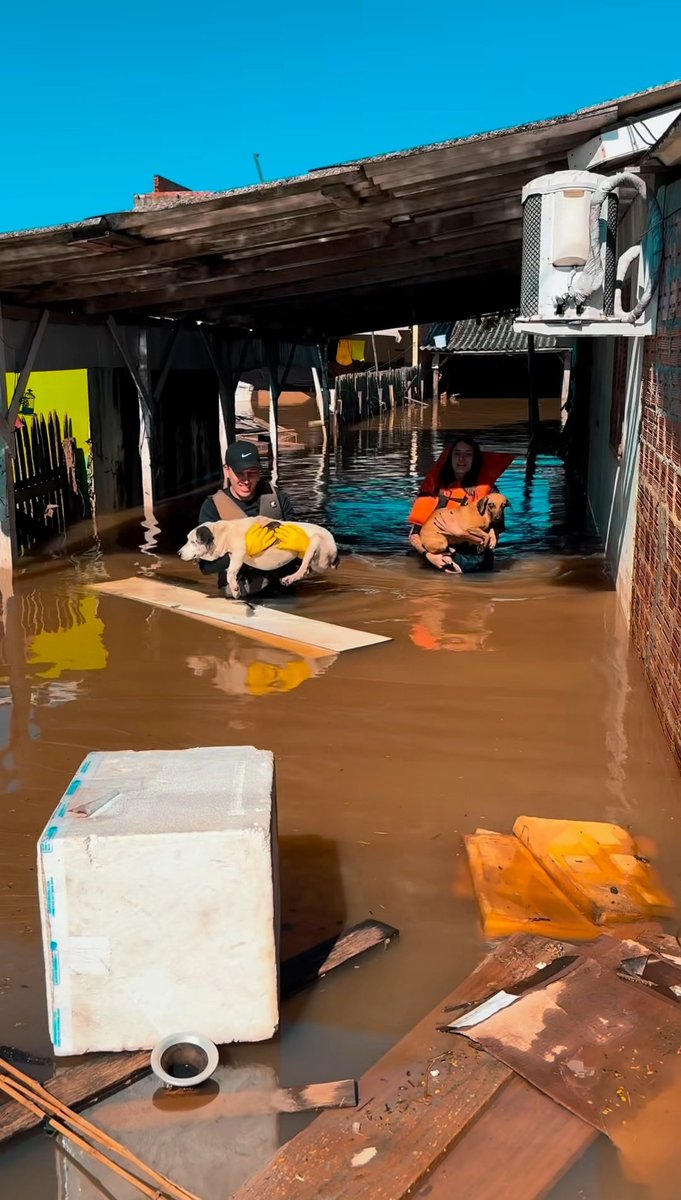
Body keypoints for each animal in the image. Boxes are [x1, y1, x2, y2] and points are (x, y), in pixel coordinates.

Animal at [179, 513, 340, 597]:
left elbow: (230, 572)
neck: (223, 533)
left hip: (316, 542)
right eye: (187, 539)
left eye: (193, 541)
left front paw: (235, 588)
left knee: (303, 569)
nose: (178, 553)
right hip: (314, 560)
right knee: (307, 570)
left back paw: (289, 578)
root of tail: (334, 549)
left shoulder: (239, 552)